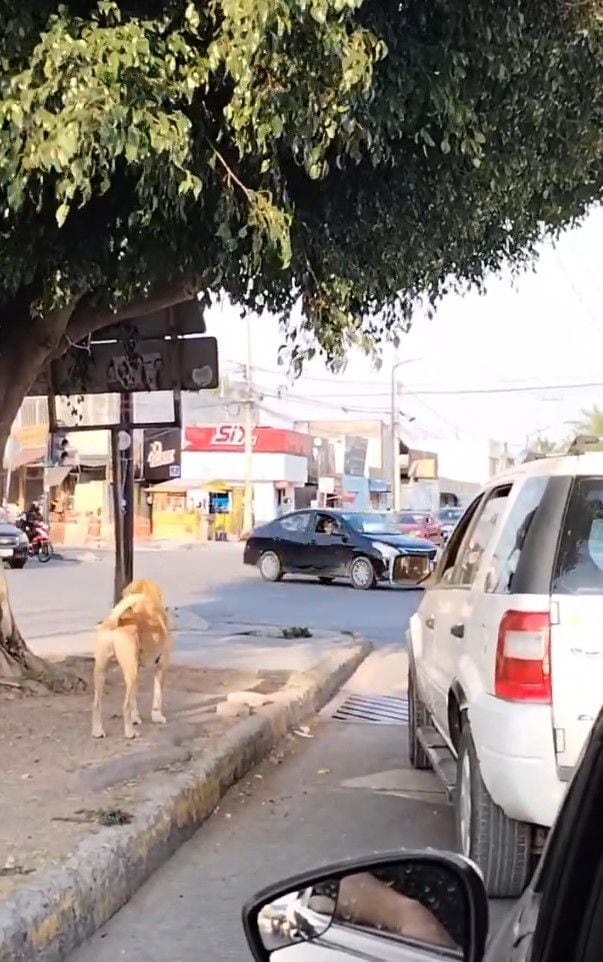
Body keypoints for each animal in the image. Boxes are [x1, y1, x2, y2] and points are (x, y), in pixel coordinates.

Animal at [92, 576, 172, 736]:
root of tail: (115, 622)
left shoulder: (137, 670)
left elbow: (135, 697)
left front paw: (136, 718)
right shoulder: (161, 666)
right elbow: (157, 696)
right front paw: (157, 717)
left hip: (101, 670)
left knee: (96, 704)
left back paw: (98, 731)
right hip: (130, 671)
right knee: (125, 706)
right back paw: (130, 732)